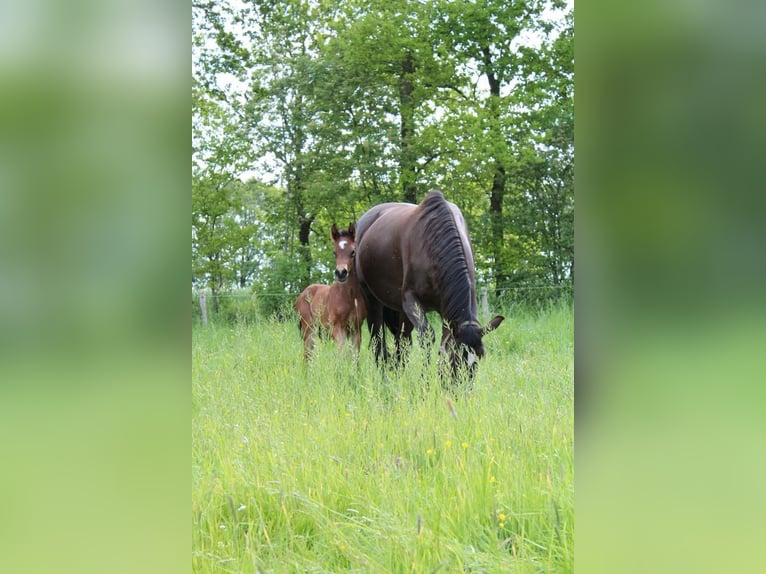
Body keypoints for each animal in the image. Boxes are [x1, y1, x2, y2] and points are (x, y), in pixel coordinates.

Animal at [296, 224, 368, 360]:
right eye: (334, 252)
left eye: (353, 252)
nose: (341, 273)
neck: (349, 296)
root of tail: (303, 294)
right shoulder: (337, 328)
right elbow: (342, 355)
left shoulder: (356, 329)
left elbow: (354, 357)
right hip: (309, 329)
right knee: (307, 355)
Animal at [356, 191, 510, 384]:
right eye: (456, 357)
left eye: (480, 356)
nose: (462, 388)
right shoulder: (410, 300)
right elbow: (427, 337)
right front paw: (425, 382)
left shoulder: (445, 310)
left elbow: (441, 343)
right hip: (371, 298)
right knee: (378, 338)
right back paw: (385, 377)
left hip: (400, 312)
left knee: (402, 340)